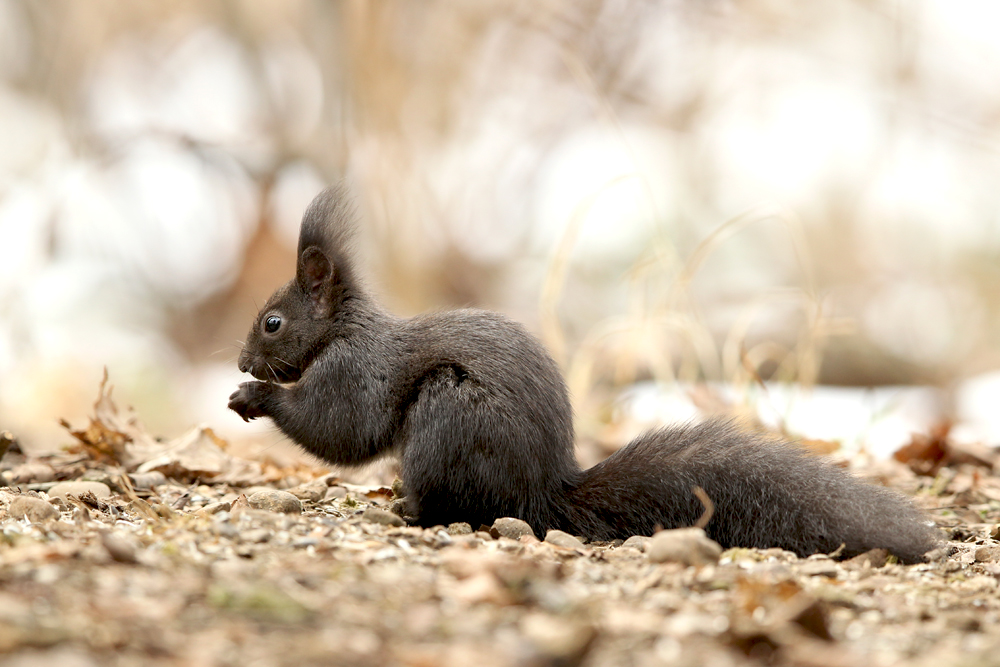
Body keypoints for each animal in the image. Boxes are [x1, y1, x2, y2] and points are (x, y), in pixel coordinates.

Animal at [227, 184, 936, 564]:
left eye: (272, 323)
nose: (239, 361)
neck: (343, 329)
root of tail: (543, 494)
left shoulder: (356, 371)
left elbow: (339, 429)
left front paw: (257, 396)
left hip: (448, 418)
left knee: (457, 507)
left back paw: (410, 509)